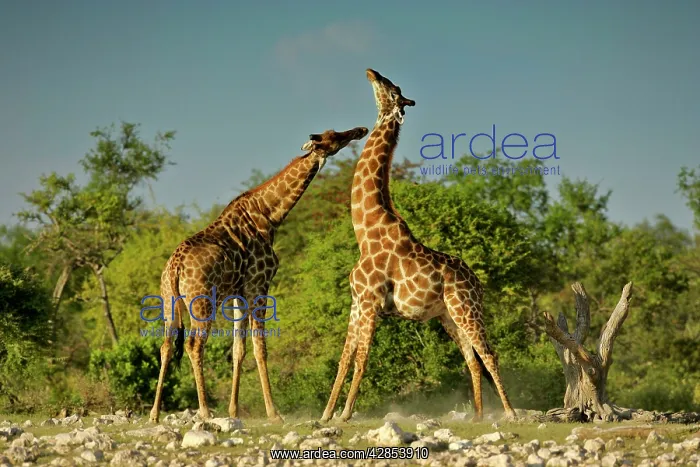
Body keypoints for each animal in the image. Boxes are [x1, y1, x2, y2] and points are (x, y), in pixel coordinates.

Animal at [148, 126, 369, 424]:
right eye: (334, 137)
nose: (360, 130)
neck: (270, 215)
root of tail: (175, 267)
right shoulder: (259, 284)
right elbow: (260, 347)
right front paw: (274, 412)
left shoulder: (238, 293)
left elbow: (238, 349)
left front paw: (233, 411)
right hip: (202, 302)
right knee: (194, 345)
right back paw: (204, 411)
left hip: (169, 302)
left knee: (166, 346)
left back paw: (154, 414)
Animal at [320, 69, 517, 423]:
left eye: (391, 87)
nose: (371, 72)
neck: (365, 231)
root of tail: (478, 284)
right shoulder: (357, 302)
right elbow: (344, 359)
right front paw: (326, 414)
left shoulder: (370, 303)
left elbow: (362, 360)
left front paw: (345, 414)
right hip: (448, 316)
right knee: (471, 359)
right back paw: (478, 416)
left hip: (466, 308)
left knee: (489, 354)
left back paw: (510, 413)